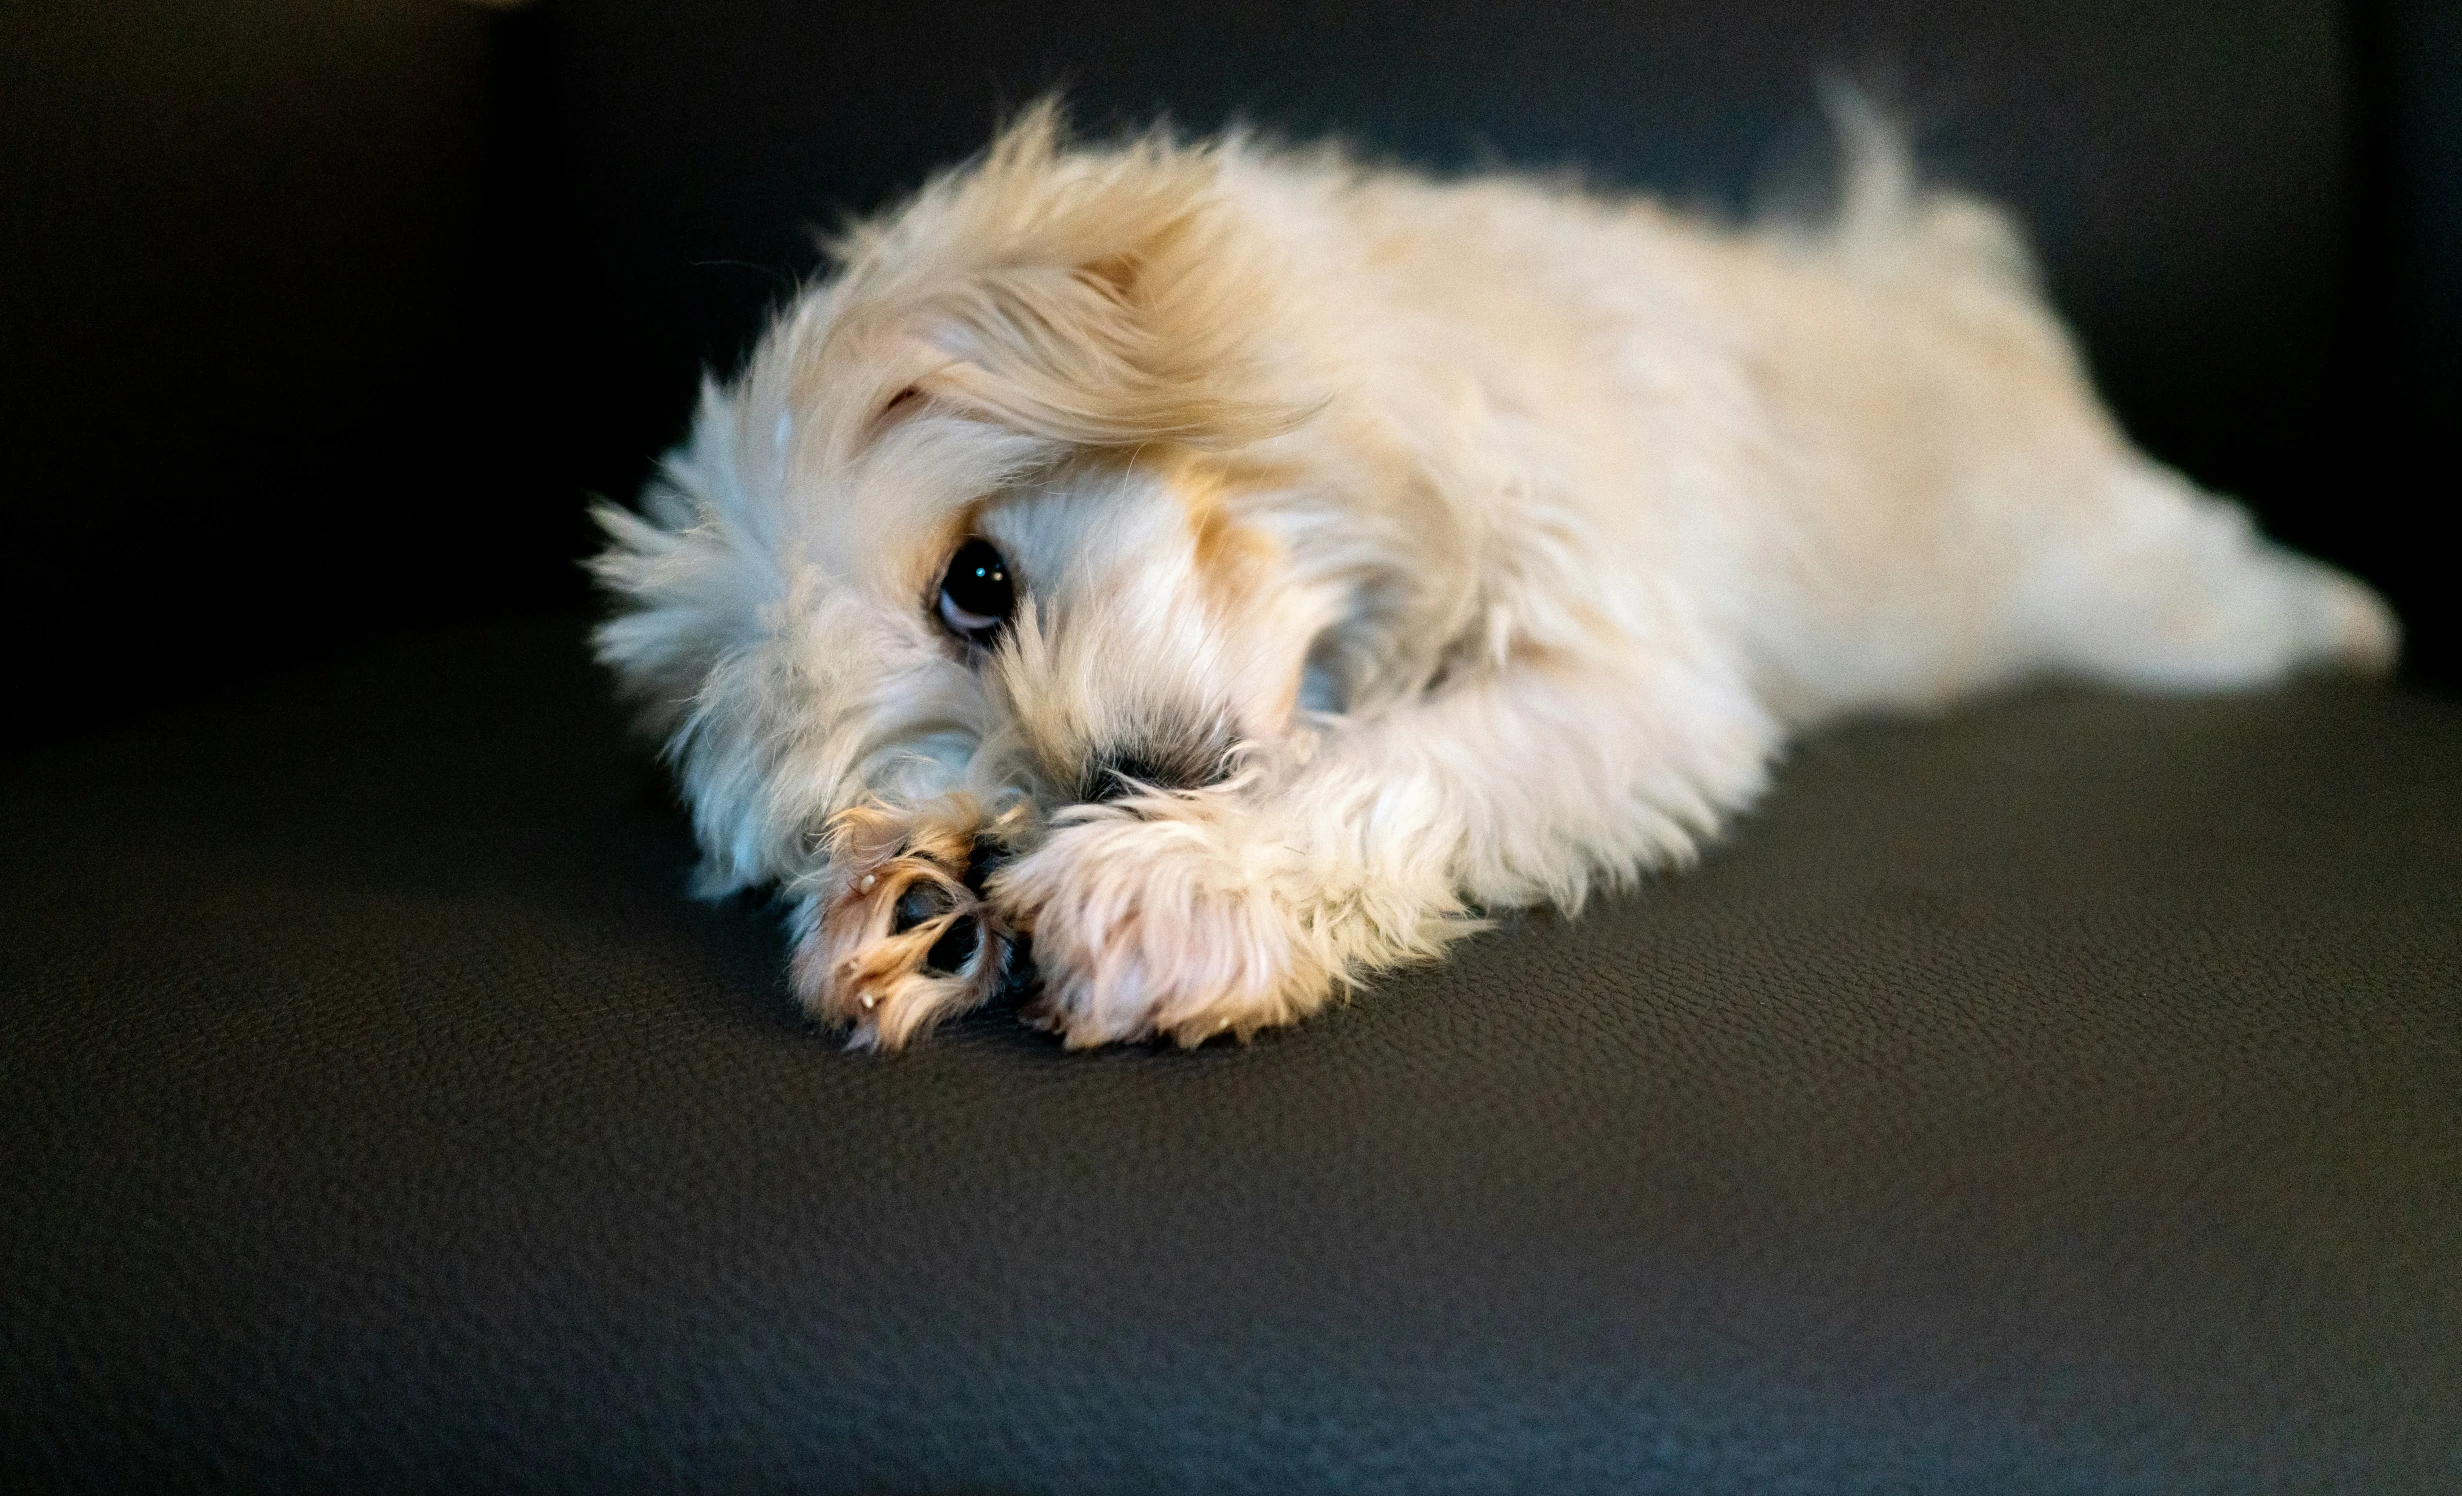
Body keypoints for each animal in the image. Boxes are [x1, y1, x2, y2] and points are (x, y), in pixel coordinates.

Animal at [585, 102, 2393, 1053]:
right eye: (955, 771)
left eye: (972, 581)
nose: (1104, 783)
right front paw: (910, 895)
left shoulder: (1616, 669)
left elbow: (1389, 765)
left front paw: (1174, 880)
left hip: (2144, 591)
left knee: (2239, 582)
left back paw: (2354, 624)